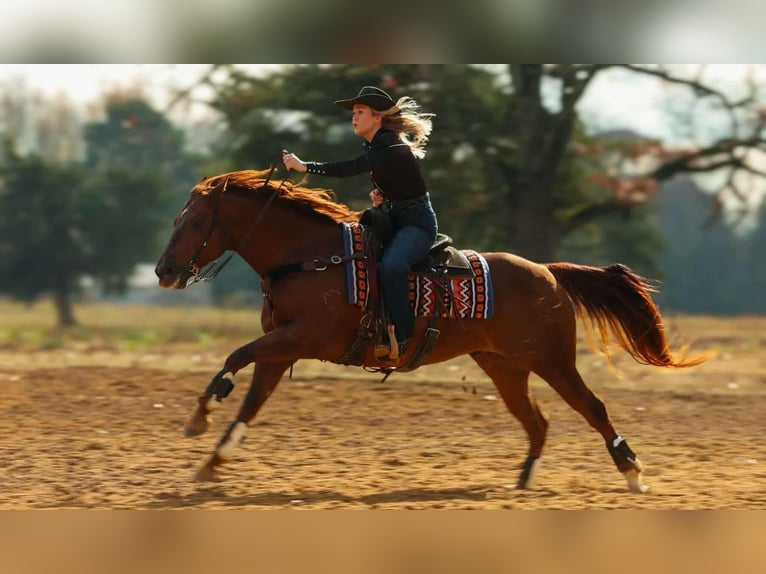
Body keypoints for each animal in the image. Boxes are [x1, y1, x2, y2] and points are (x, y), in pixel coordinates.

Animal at [154, 169, 705, 493]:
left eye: (196, 220)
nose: (164, 271)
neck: (311, 257)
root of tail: (547, 271)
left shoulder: (302, 338)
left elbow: (234, 358)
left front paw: (199, 417)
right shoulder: (281, 350)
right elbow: (249, 401)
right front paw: (211, 461)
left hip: (553, 360)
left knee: (593, 408)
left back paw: (632, 472)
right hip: (505, 368)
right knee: (537, 422)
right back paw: (523, 482)